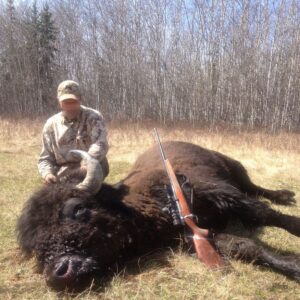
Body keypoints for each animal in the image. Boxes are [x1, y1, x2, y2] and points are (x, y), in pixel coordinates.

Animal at [17, 142, 300, 292]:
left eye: (78, 208)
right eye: (34, 245)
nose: (59, 272)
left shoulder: (219, 191)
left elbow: (265, 213)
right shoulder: (194, 236)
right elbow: (245, 247)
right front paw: (293, 264)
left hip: (236, 169)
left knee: (256, 189)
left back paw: (285, 195)